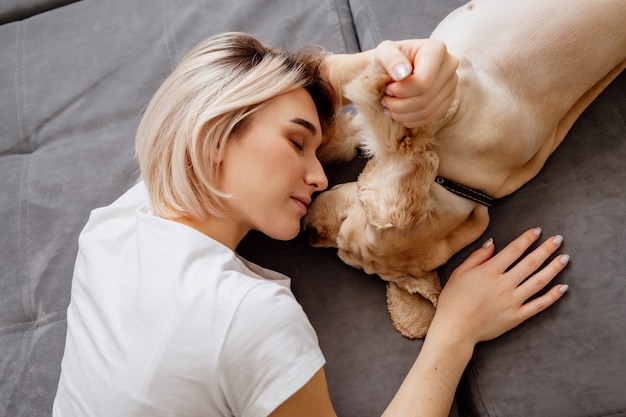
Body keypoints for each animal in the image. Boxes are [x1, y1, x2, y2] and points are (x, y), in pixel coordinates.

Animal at [304, 0, 624, 338]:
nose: (308, 234)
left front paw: (370, 86)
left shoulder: (455, 88)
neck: (454, 181)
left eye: (342, 237)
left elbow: (390, 134)